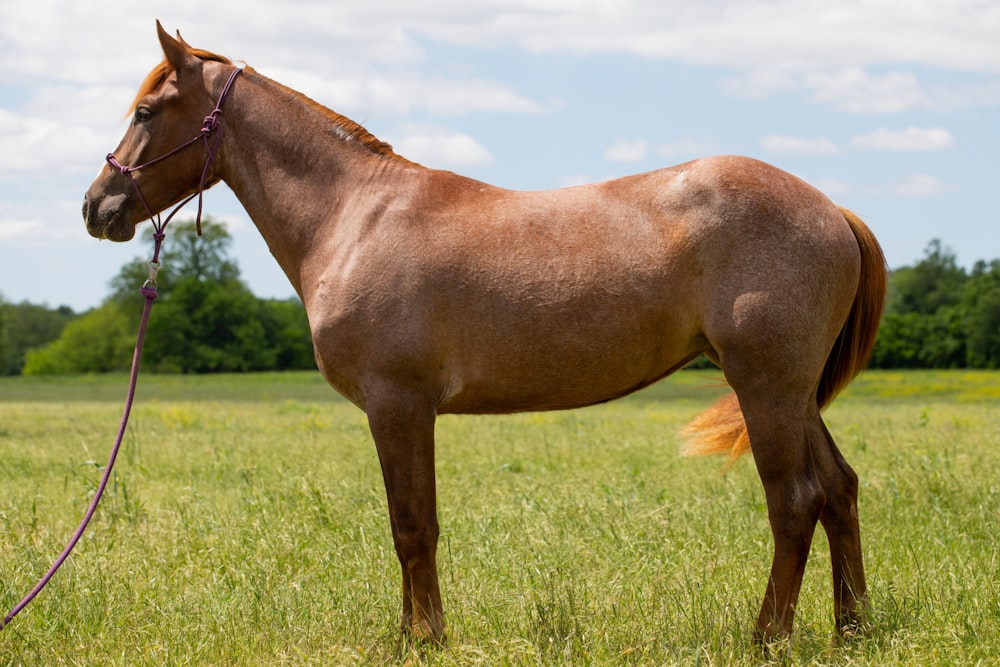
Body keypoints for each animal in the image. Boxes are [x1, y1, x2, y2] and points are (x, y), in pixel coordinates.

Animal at [84, 22, 884, 648]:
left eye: (147, 110)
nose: (98, 206)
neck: (355, 215)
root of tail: (832, 208)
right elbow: (414, 525)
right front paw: (415, 633)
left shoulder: (398, 404)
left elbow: (411, 524)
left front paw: (424, 640)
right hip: (793, 393)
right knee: (838, 489)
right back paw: (852, 627)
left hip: (766, 386)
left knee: (795, 501)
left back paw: (769, 636)